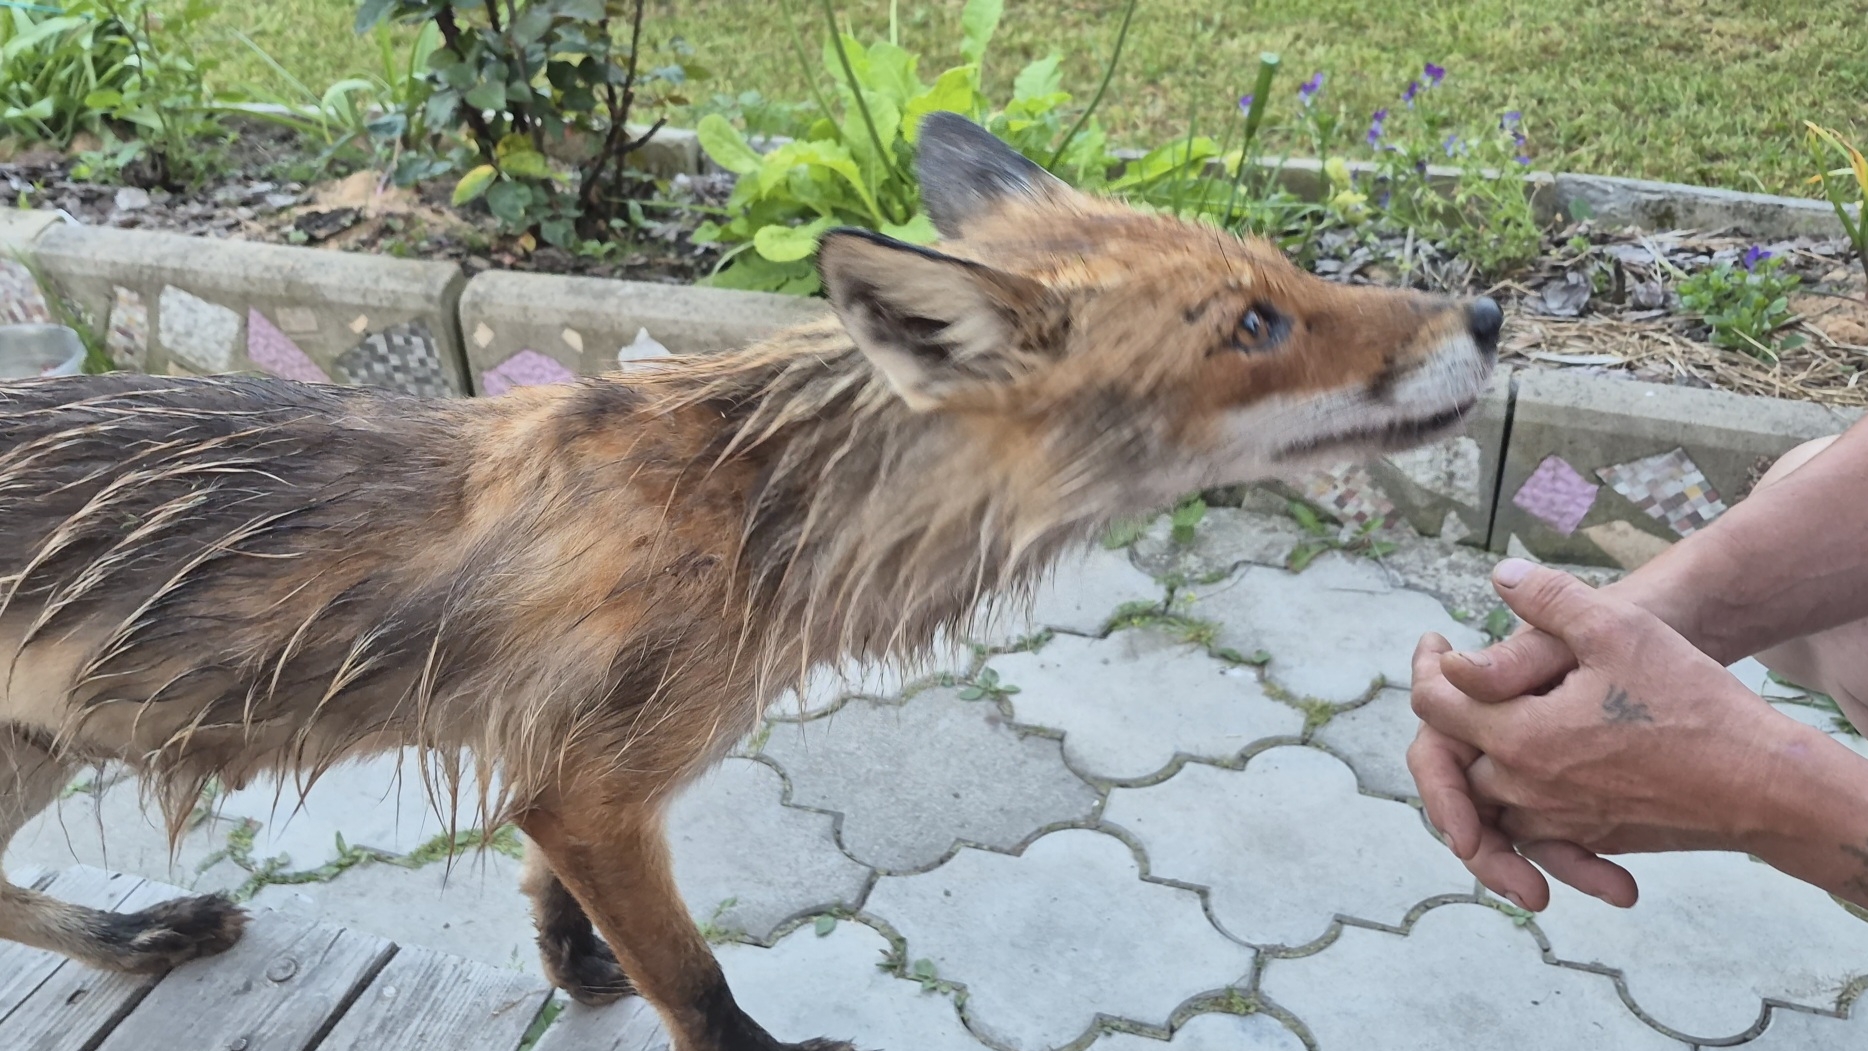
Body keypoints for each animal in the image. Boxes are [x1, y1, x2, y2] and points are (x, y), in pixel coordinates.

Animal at [0, 112, 1498, 1051]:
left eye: (1288, 273)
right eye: (1255, 325)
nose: (1487, 314)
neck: (760, 512)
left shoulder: (571, 771)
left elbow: (558, 897)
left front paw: (574, 969)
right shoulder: (597, 782)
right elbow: (702, 986)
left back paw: (131, 936)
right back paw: (131, 933)